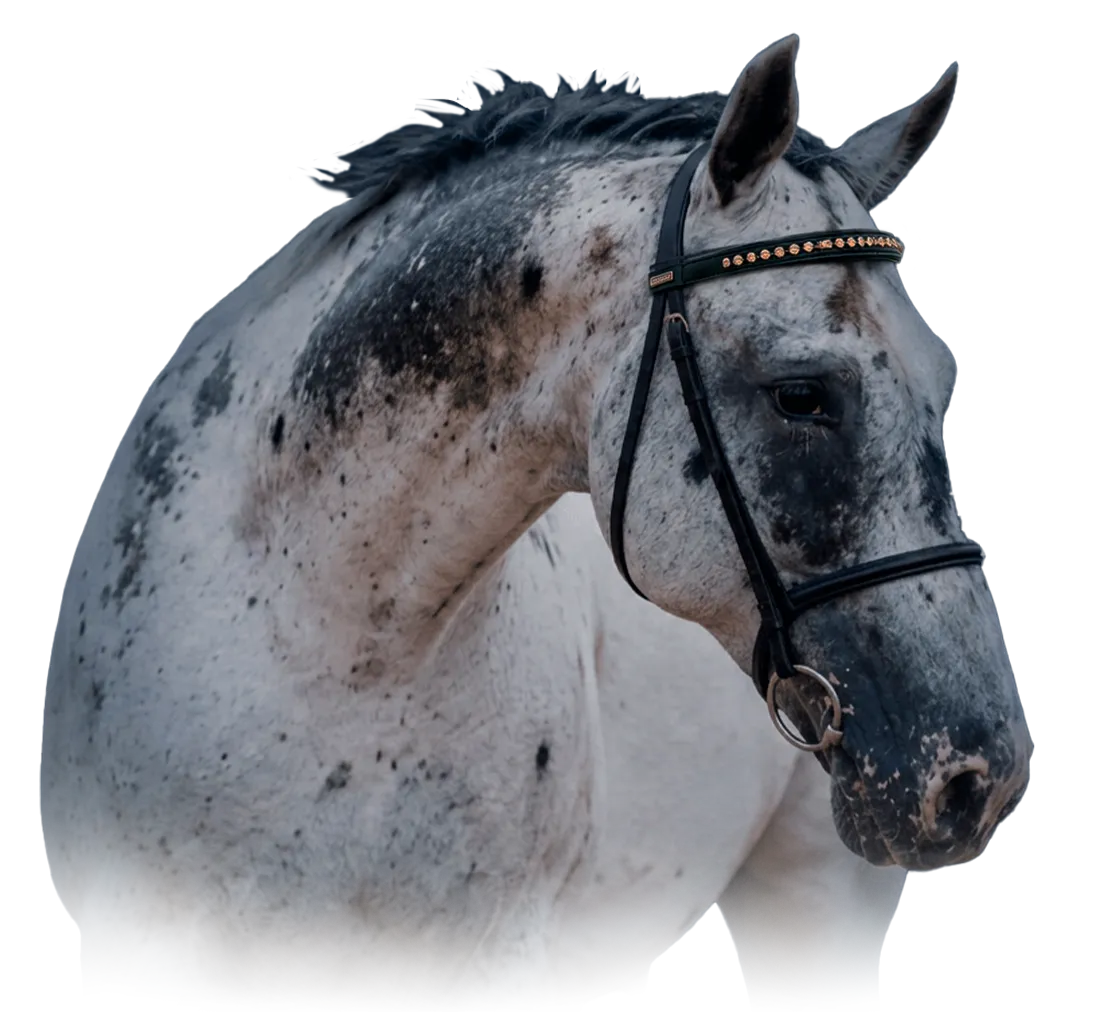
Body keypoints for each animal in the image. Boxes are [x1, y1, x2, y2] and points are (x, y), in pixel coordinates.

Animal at [41, 33, 1032, 1011]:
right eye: (801, 395)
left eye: (942, 383)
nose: (978, 775)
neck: (326, 638)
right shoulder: (148, 960)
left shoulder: (499, 966)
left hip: (818, 920)